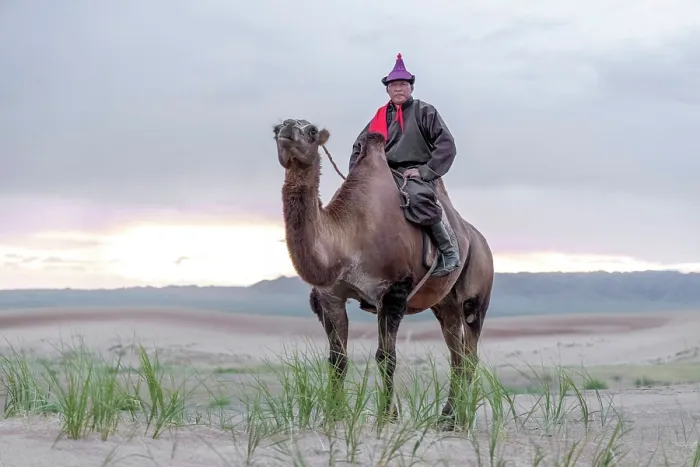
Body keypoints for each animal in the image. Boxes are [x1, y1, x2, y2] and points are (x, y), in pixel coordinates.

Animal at [273, 118, 495, 427]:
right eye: (275, 130)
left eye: (312, 131)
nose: (287, 128)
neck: (347, 239)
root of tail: (481, 241)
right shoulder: (331, 296)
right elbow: (337, 359)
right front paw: (334, 414)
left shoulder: (392, 291)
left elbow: (385, 357)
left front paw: (388, 416)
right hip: (445, 305)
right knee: (457, 355)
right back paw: (447, 417)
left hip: (476, 295)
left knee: (470, 353)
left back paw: (462, 419)